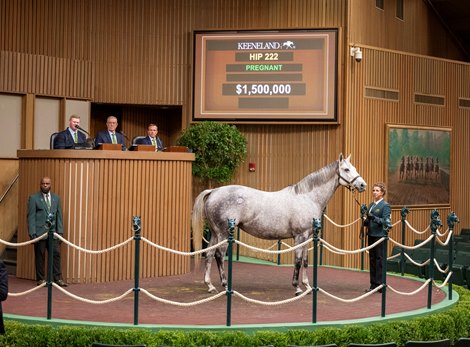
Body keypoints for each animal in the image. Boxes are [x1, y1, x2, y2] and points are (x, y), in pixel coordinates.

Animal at [191, 154, 368, 294]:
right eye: (346, 169)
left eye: (353, 167)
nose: (362, 185)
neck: (307, 197)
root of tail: (213, 191)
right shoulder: (299, 236)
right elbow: (298, 260)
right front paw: (297, 288)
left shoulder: (307, 237)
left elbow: (305, 260)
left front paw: (307, 287)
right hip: (223, 233)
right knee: (219, 255)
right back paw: (225, 284)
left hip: (215, 233)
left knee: (209, 254)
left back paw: (210, 286)